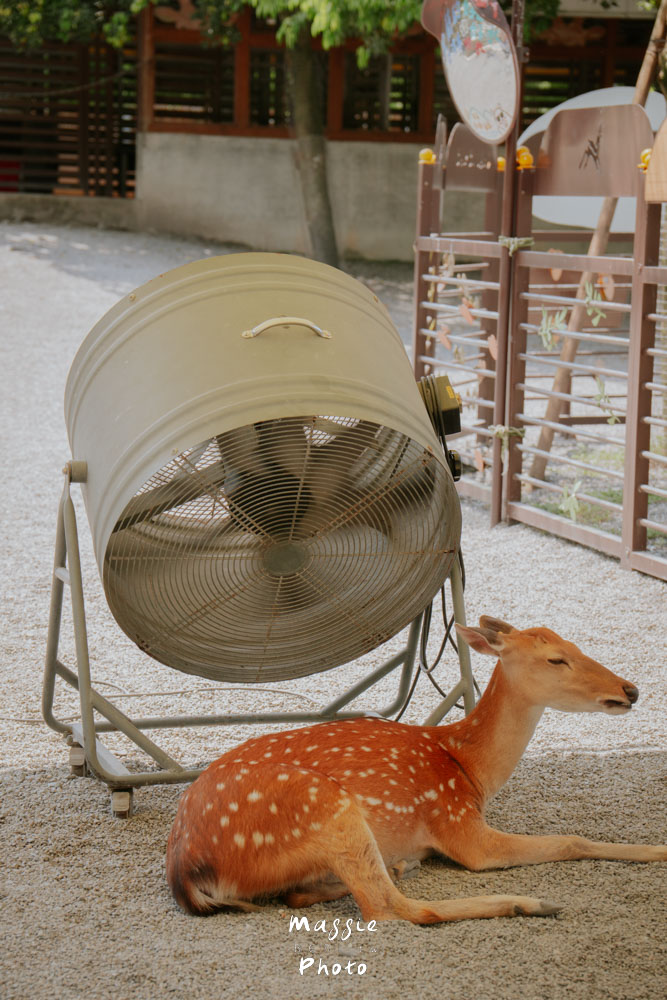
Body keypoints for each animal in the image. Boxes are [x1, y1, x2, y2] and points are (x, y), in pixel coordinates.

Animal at [166, 616, 666, 923]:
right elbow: (570, 840)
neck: (469, 770)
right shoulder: (457, 822)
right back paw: (530, 903)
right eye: (555, 659)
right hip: (326, 807)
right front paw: (657, 850)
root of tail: (184, 872)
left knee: (310, 893)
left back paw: (396, 866)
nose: (631, 689)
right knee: (390, 909)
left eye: (574, 646)